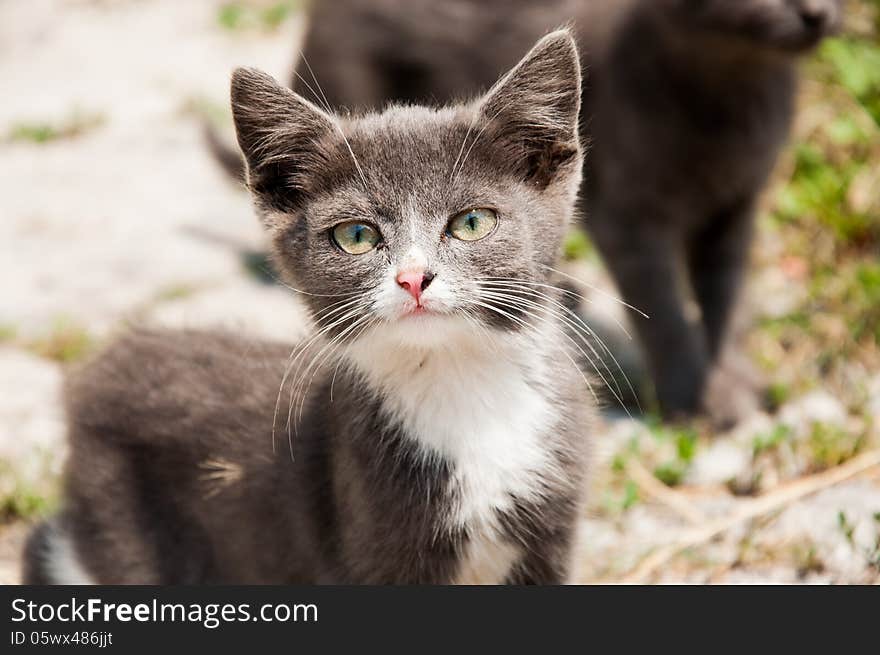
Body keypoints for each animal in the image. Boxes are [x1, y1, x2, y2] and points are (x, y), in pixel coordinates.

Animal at [24, 30, 596, 588]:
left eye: (472, 223)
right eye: (357, 236)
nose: (414, 278)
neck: (459, 383)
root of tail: (95, 372)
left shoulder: (552, 526)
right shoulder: (371, 534)